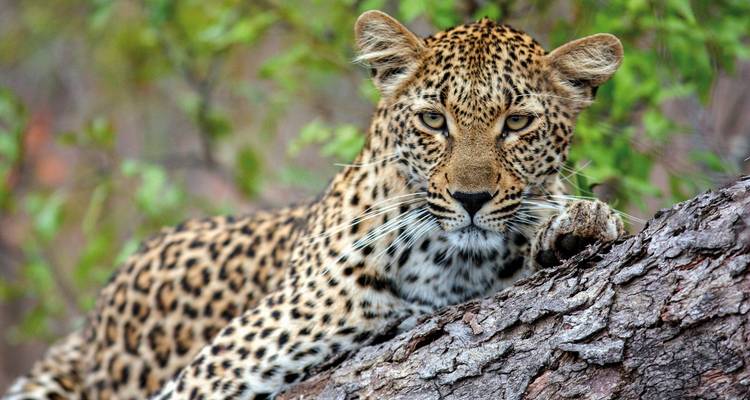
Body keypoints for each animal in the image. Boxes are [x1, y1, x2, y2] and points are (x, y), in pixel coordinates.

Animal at [4, 10, 626, 400]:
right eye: (433, 119)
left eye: (517, 123)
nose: (470, 198)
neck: (454, 265)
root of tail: (86, 333)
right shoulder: (217, 369)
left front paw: (582, 222)